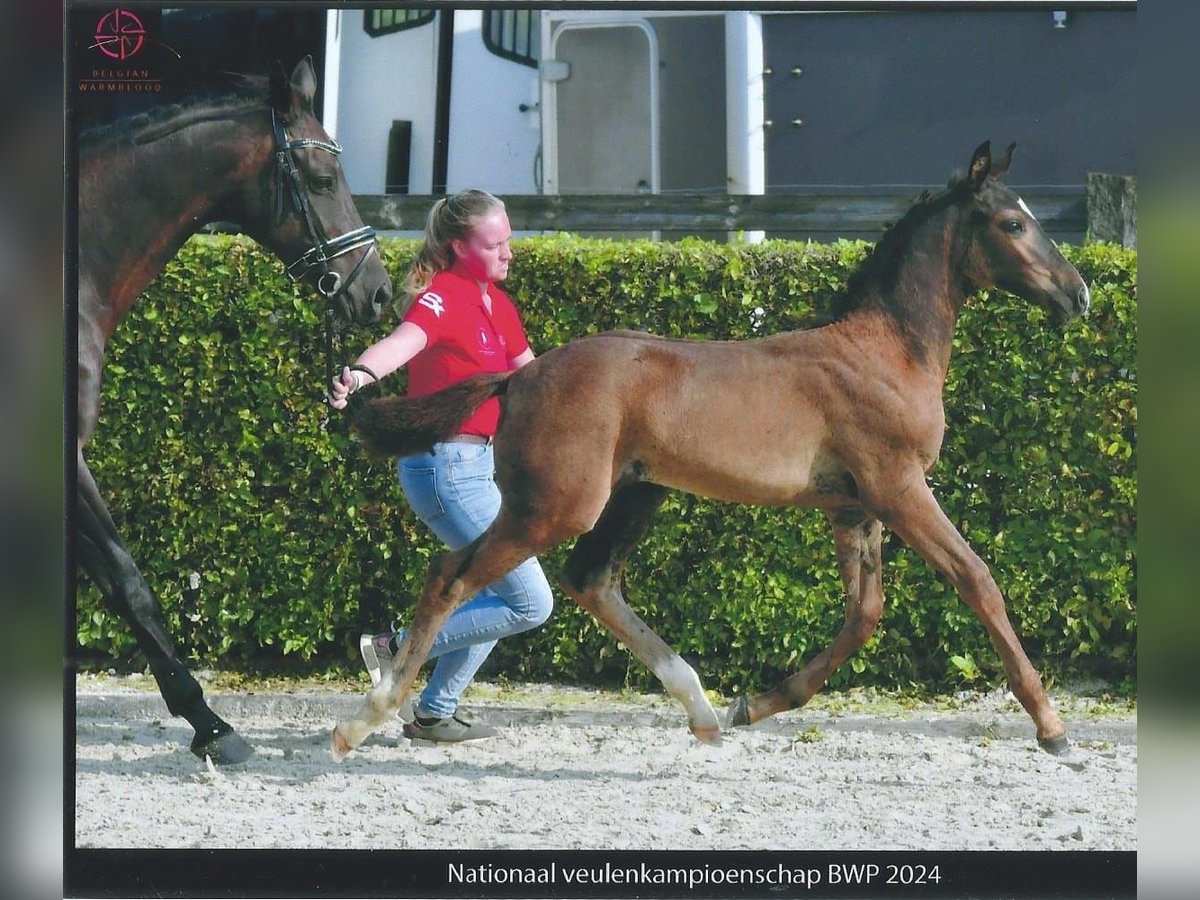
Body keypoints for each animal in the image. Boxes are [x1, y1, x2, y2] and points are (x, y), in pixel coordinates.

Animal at [328, 141, 1089, 763]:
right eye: (1013, 223)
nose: (1078, 294)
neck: (886, 352)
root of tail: (520, 376)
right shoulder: (898, 488)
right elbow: (977, 580)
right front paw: (1052, 727)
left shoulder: (854, 508)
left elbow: (863, 616)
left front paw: (757, 703)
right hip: (556, 505)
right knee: (451, 577)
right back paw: (363, 719)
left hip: (636, 492)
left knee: (588, 579)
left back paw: (702, 709)